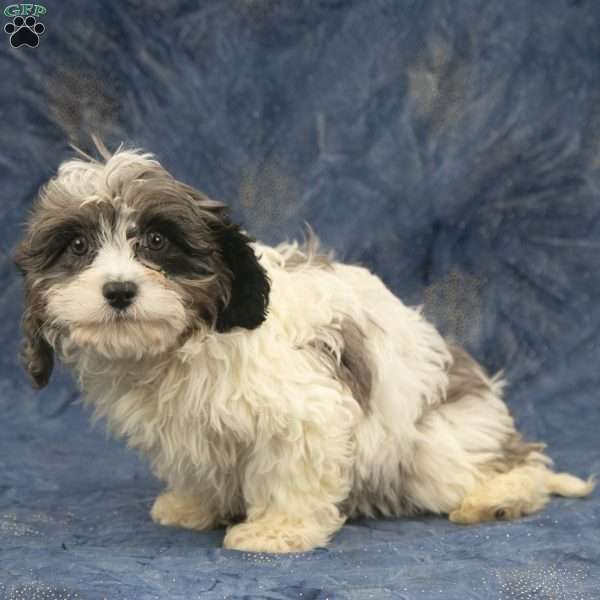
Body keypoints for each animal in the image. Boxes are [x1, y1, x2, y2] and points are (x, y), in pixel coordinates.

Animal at [15, 144, 596, 552]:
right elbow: (197, 466)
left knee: (519, 468)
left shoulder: (305, 414)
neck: (190, 340)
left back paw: (497, 499)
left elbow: (289, 473)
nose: (118, 290)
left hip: (436, 448)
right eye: (77, 247)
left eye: (157, 242)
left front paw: (276, 531)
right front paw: (193, 504)